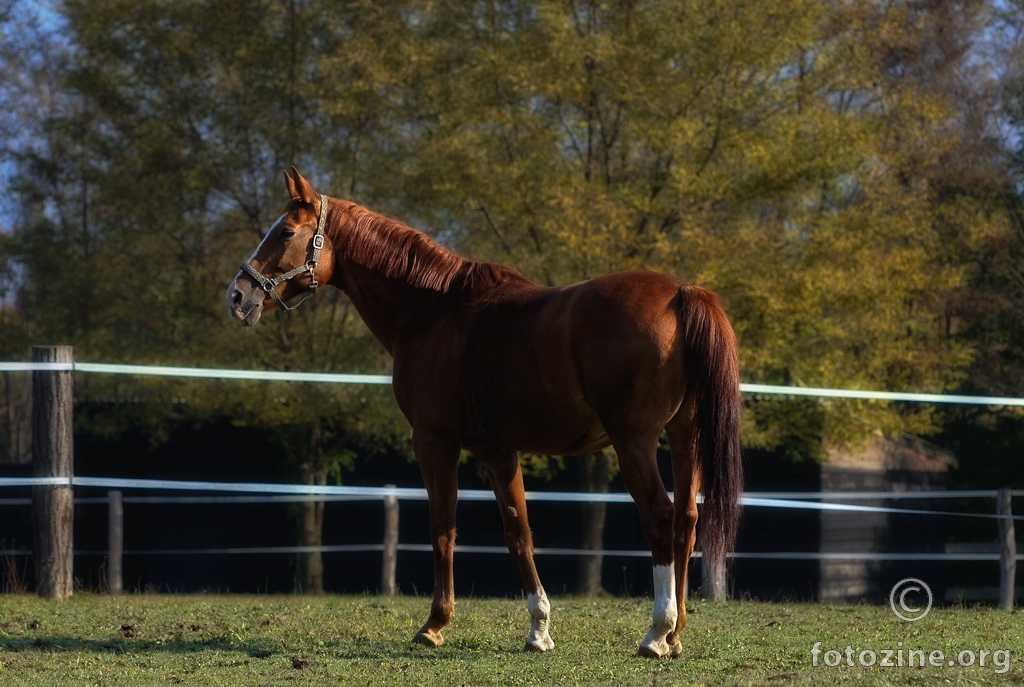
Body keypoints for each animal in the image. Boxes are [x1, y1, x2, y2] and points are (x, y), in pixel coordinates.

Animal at [224, 168, 741, 659]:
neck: (433, 309)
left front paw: (434, 625)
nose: (238, 295)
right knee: (686, 520)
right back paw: (676, 634)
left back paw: (656, 633)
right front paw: (539, 630)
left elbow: (443, 530)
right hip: (685, 435)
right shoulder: (497, 451)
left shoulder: (434, 441)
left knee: (660, 516)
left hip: (633, 441)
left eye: (286, 231)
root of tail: (682, 292)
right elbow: (518, 533)